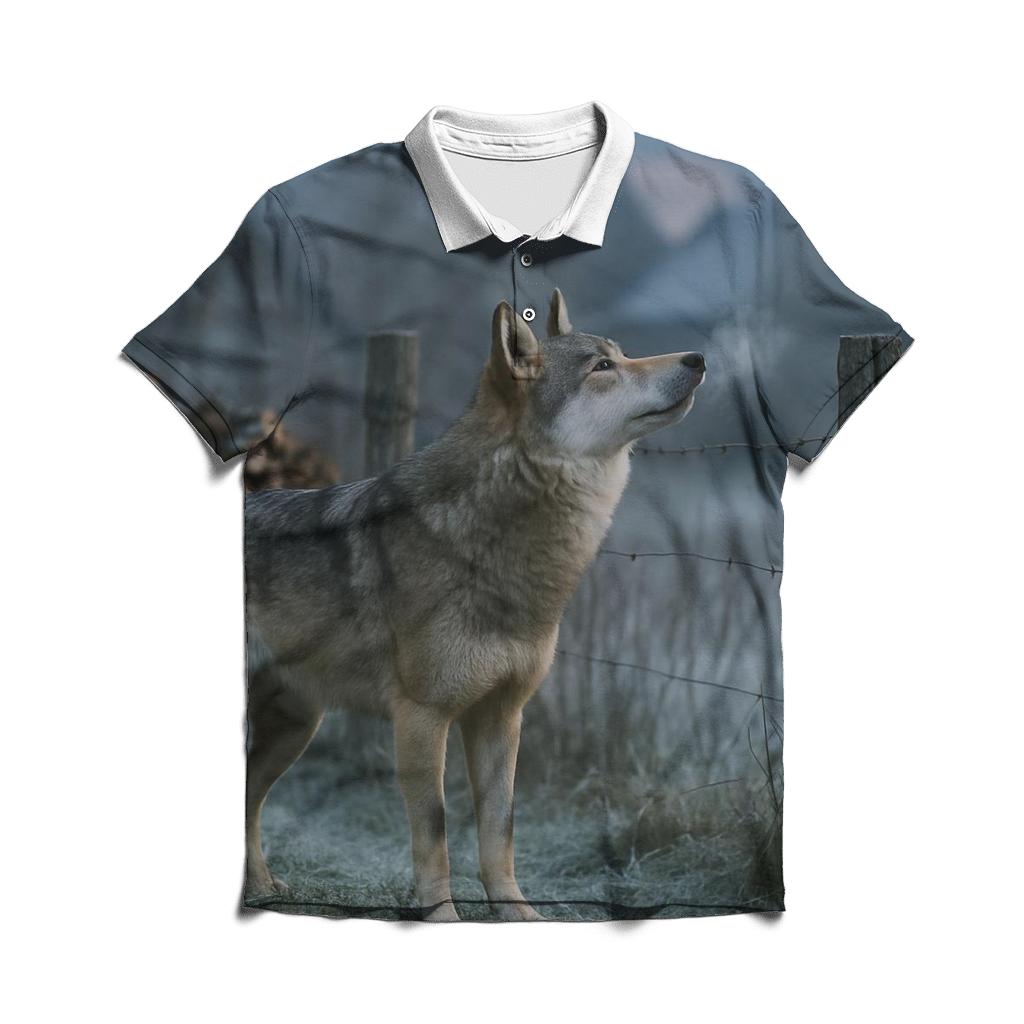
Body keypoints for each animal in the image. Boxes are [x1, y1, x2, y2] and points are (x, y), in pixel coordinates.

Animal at [243, 289, 705, 921]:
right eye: (602, 367)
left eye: (623, 354)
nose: (698, 358)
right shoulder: (422, 718)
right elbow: (435, 831)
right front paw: (442, 917)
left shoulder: (502, 717)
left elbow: (499, 828)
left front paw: (518, 913)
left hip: (296, 728)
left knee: (247, 802)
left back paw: (261, 888)